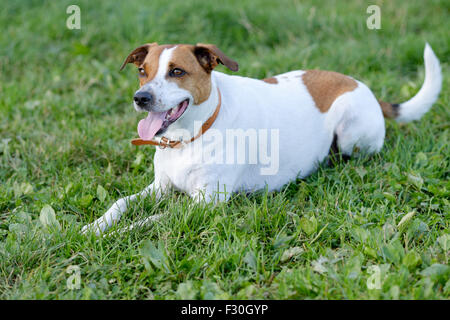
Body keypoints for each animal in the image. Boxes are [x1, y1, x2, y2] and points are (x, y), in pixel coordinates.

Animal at [81, 42, 440, 235]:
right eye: (142, 71)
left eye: (177, 72)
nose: (140, 98)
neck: (189, 137)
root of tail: (362, 86)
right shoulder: (160, 187)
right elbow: (120, 203)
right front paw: (94, 227)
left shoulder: (204, 204)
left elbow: (149, 221)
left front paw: (114, 235)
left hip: (352, 132)